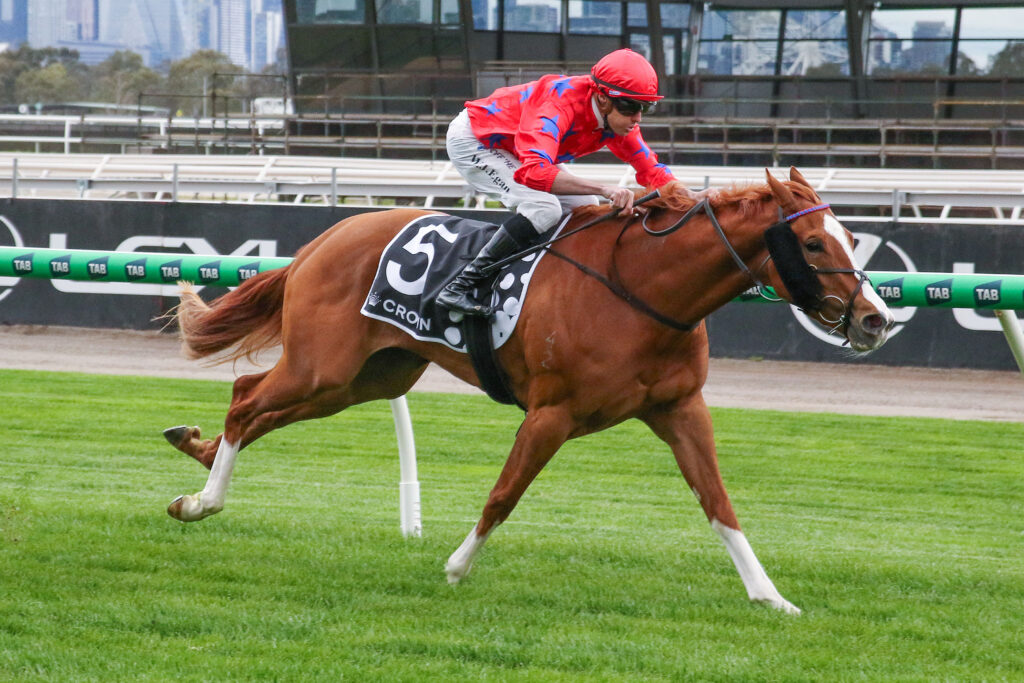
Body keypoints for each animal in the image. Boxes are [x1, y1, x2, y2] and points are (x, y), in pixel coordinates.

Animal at [162, 167, 894, 614]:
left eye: (849, 236)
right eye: (811, 242)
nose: (875, 318)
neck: (643, 288)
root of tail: (323, 239)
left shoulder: (679, 408)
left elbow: (719, 503)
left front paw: (771, 595)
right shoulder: (552, 412)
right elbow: (505, 493)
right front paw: (456, 566)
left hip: (369, 375)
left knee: (253, 404)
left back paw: (194, 461)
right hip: (325, 366)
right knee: (246, 401)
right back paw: (202, 500)